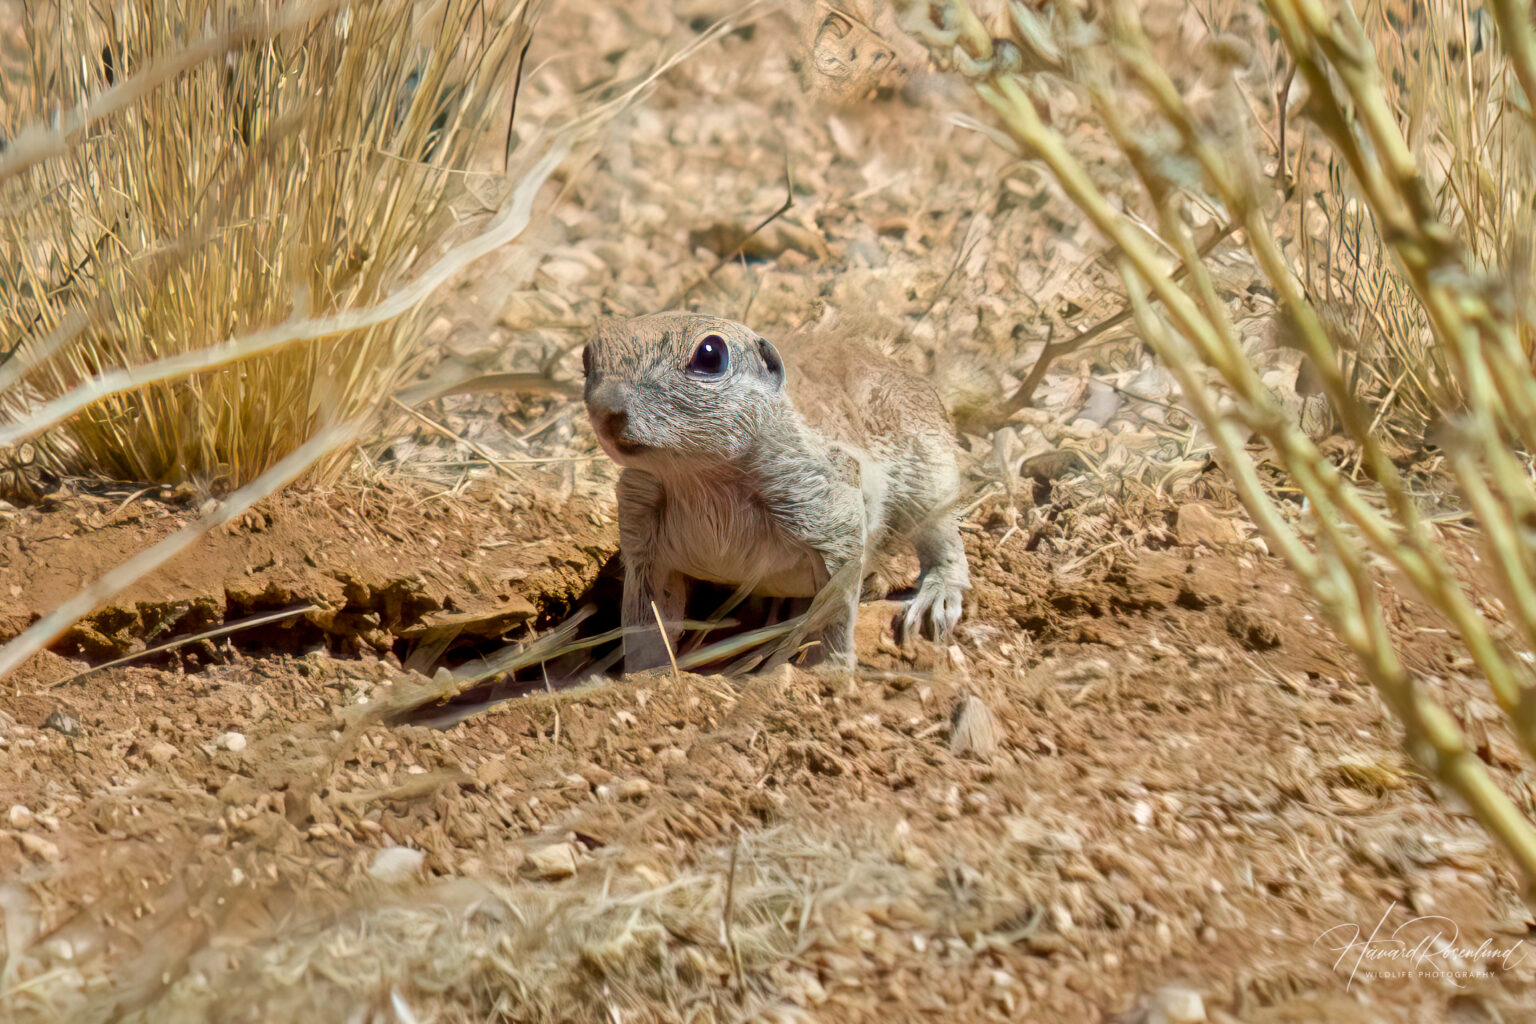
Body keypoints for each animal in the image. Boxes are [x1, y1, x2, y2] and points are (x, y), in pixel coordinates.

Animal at [583, 311, 969, 672]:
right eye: (587, 357)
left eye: (710, 355)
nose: (607, 410)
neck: (700, 479)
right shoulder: (640, 520)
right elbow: (646, 619)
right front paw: (643, 675)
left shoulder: (823, 505)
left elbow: (835, 608)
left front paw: (829, 670)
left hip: (929, 472)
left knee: (941, 536)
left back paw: (935, 593)